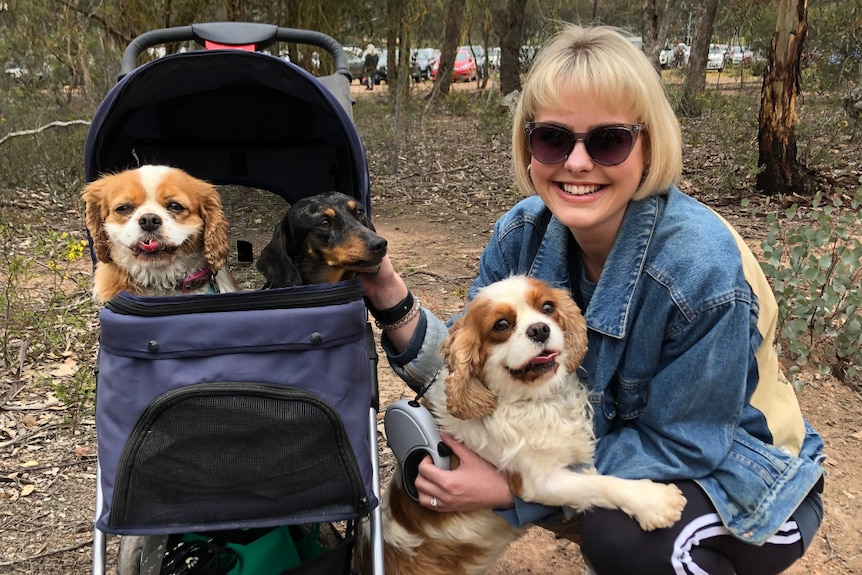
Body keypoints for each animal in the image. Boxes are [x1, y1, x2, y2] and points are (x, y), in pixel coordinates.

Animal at [362, 276, 688, 572]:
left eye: (548, 307)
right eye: (502, 325)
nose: (540, 329)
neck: (533, 401)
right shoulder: (537, 481)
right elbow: (596, 483)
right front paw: (653, 501)